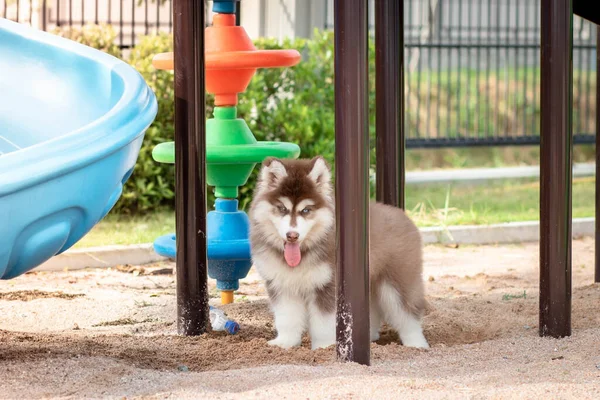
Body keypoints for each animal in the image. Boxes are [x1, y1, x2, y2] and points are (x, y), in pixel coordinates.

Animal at [250, 156, 432, 350]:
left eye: (306, 210)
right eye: (282, 208)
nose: (292, 235)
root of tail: (401, 214)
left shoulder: (327, 286)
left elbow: (322, 324)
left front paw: (323, 347)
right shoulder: (282, 285)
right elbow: (286, 319)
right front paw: (284, 343)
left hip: (399, 284)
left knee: (407, 315)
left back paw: (416, 344)